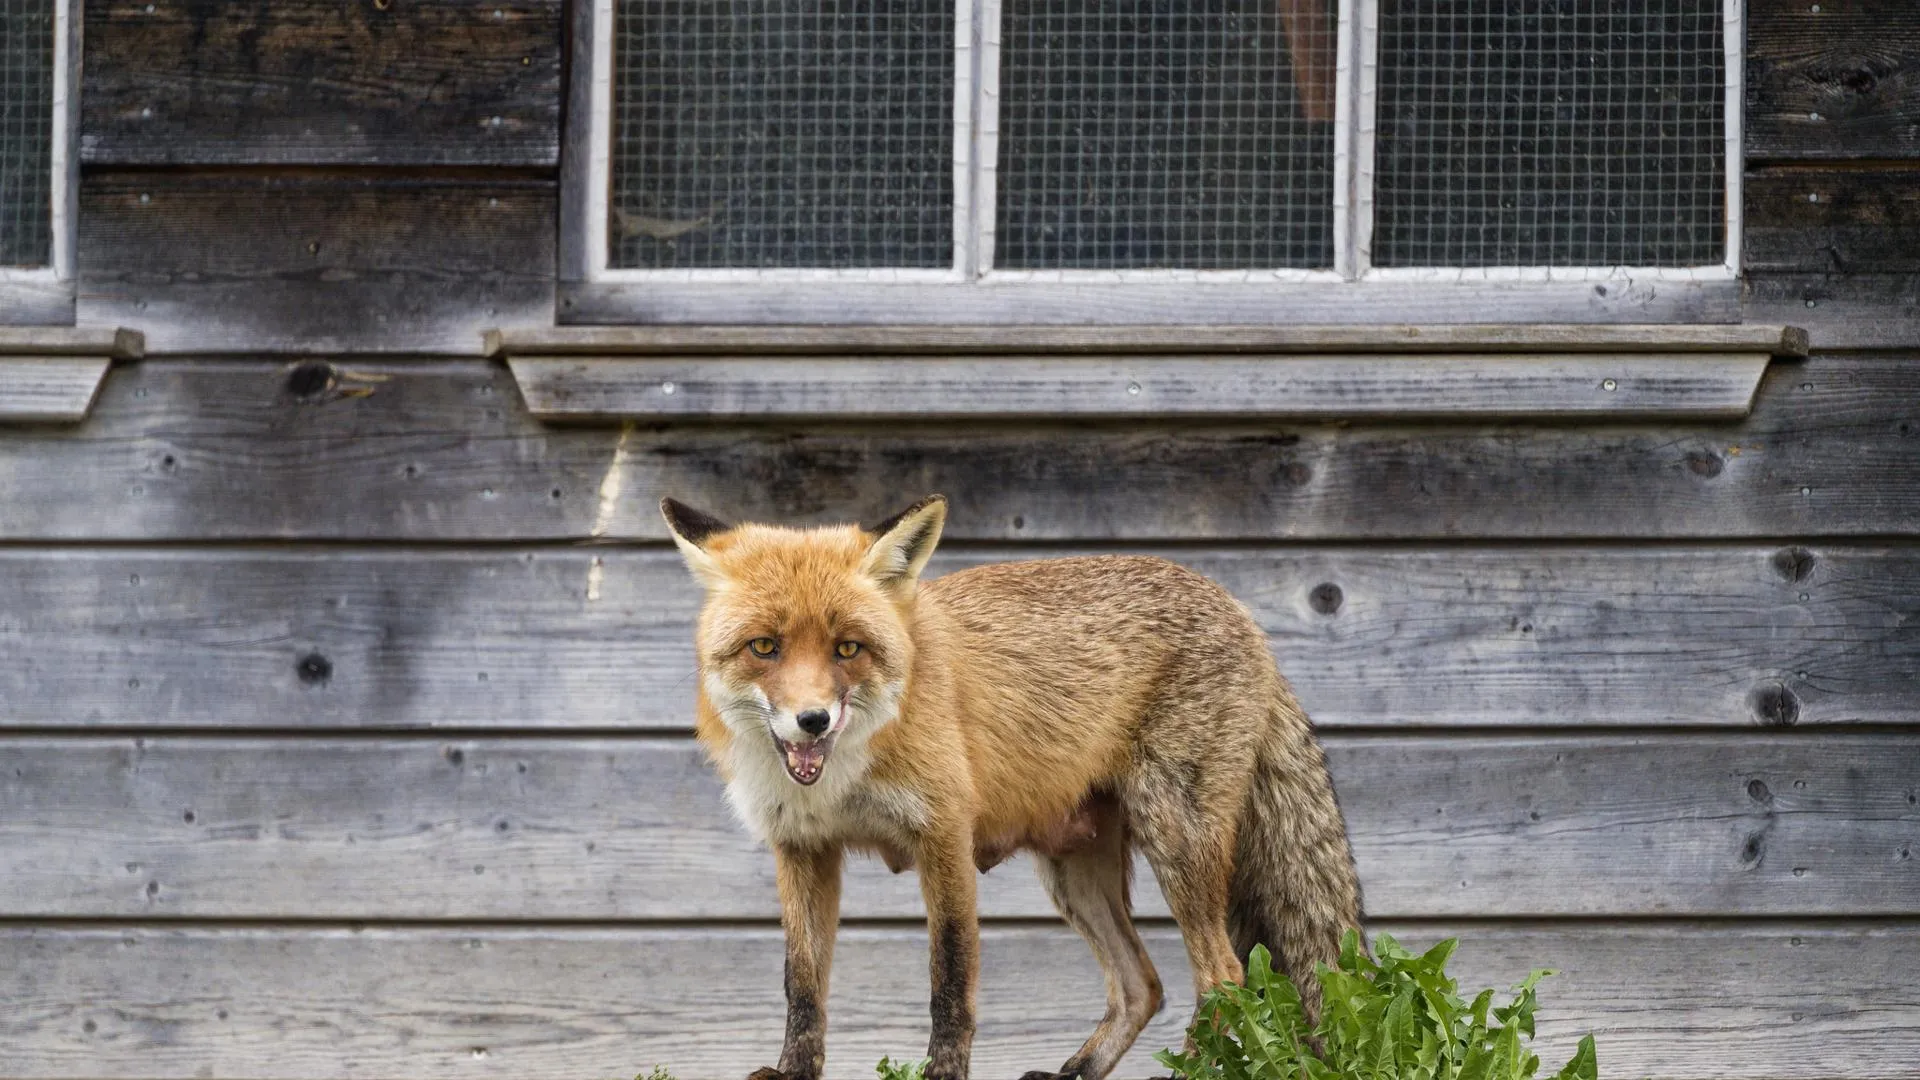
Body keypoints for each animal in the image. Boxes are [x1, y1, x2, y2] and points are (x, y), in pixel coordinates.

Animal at [668, 491, 1359, 1076]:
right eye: (764, 647)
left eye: (847, 649)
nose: (812, 720)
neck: (841, 778)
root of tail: (1245, 614)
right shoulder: (803, 849)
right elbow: (802, 984)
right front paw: (793, 1071)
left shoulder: (944, 836)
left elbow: (950, 979)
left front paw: (943, 1073)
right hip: (1073, 874)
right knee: (1143, 985)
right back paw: (1075, 1072)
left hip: (1175, 840)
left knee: (1222, 976)